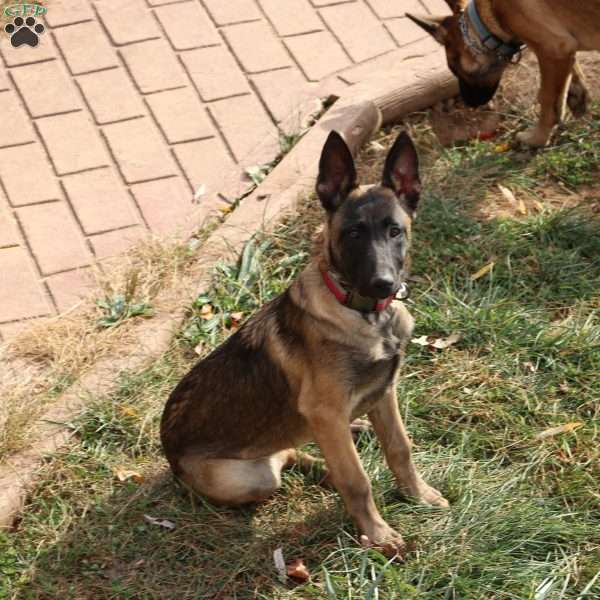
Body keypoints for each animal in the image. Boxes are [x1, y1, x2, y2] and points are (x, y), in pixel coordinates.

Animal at [162, 131, 448, 556]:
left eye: (395, 231)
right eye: (353, 233)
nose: (383, 284)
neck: (364, 314)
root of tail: (168, 453)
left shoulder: (384, 391)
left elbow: (400, 448)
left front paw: (419, 495)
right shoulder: (324, 411)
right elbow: (357, 480)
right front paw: (378, 535)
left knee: (294, 449)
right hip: (250, 477)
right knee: (288, 459)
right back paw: (328, 468)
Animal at [408, 0, 600, 146]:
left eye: (455, 70)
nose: (470, 104)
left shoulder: (552, 50)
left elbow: (547, 100)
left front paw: (537, 139)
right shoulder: (561, 50)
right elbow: (565, 83)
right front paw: (577, 97)